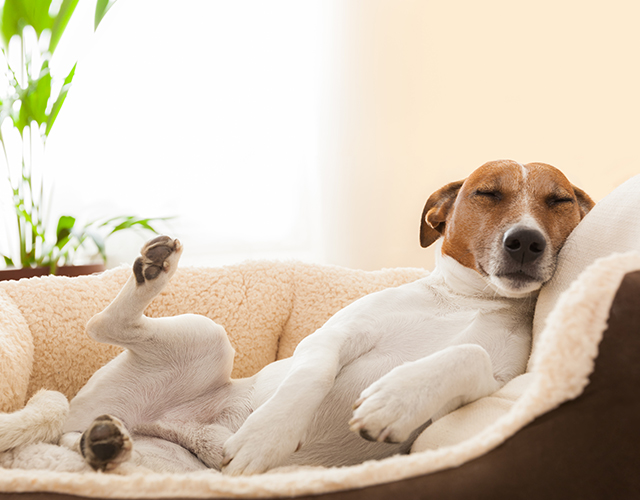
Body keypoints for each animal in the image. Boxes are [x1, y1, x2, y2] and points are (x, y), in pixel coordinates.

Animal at [60, 159, 596, 472]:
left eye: (559, 200)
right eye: (487, 194)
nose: (525, 241)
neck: (469, 301)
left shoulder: (496, 384)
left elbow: (467, 353)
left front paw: (395, 401)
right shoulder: (334, 336)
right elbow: (310, 375)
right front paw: (267, 436)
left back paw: (104, 445)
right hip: (206, 334)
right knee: (101, 324)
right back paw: (153, 269)